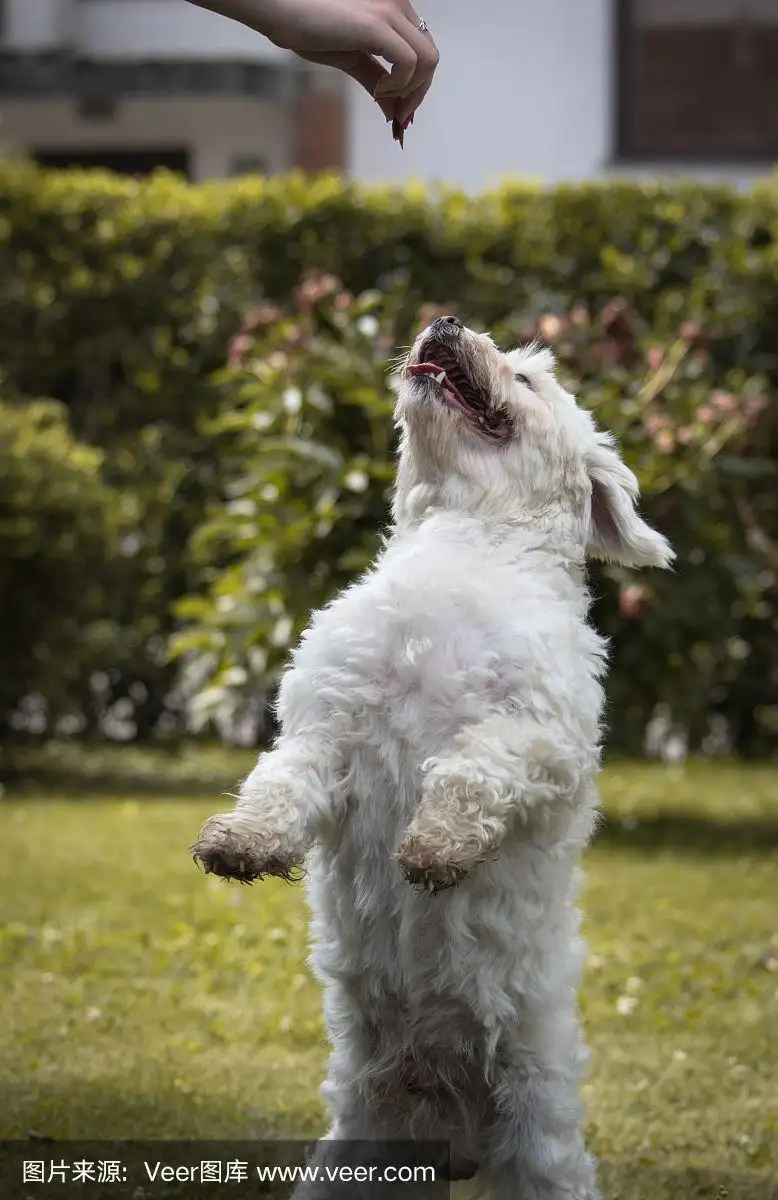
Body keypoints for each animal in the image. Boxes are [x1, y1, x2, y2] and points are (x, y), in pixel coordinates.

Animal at [190, 319, 672, 1200]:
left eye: (527, 377)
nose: (444, 323)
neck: (467, 542)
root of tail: (451, 1124)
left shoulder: (540, 738)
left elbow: (470, 770)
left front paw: (434, 846)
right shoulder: (327, 724)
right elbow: (279, 783)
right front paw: (241, 841)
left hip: (540, 1140)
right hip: (353, 1155)